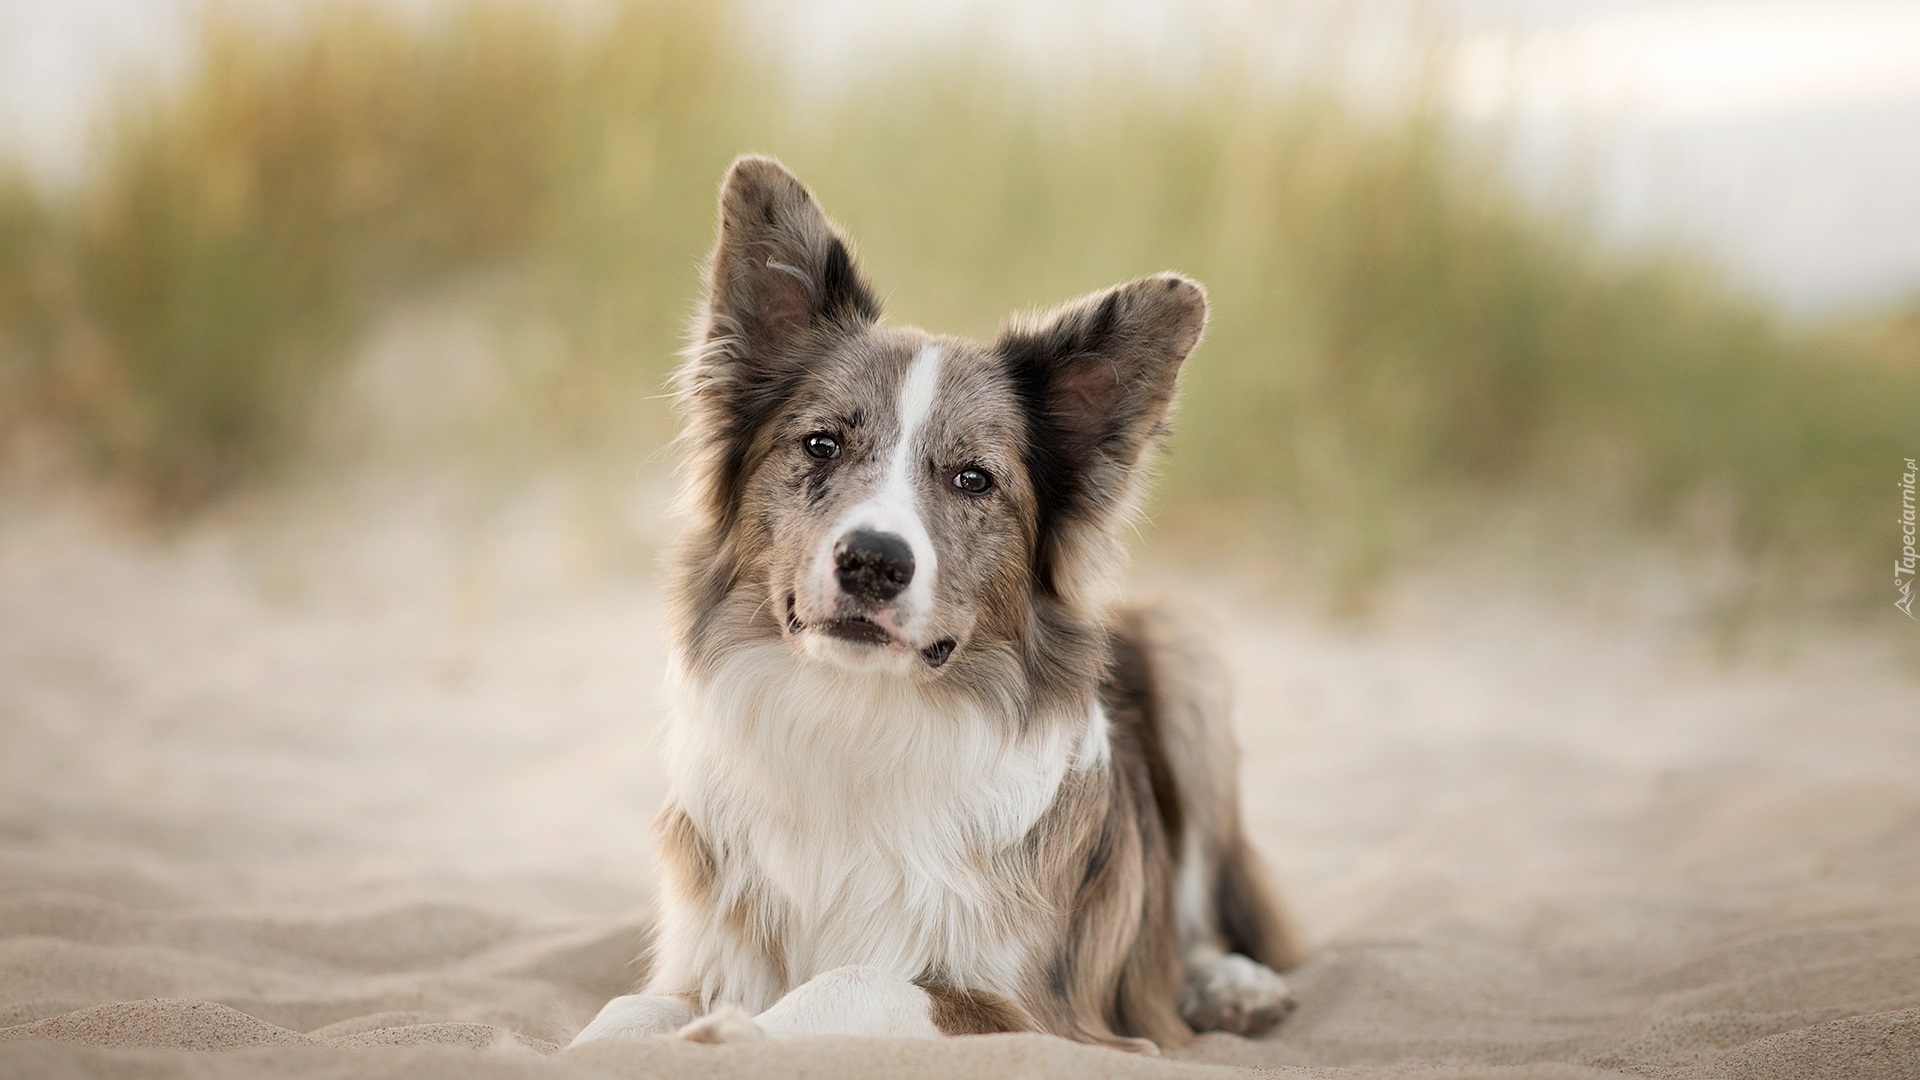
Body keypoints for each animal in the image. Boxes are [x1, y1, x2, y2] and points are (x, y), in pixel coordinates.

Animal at [564, 155, 1290, 1045]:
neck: (855, 719)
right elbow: (624, 1012)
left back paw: (1232, 984)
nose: (874, 562)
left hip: (1188, 649)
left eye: (973, 478)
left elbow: (851, 983)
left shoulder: (1028, 1009)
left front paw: (731, 1035)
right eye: (821, 444)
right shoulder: (705, 952)